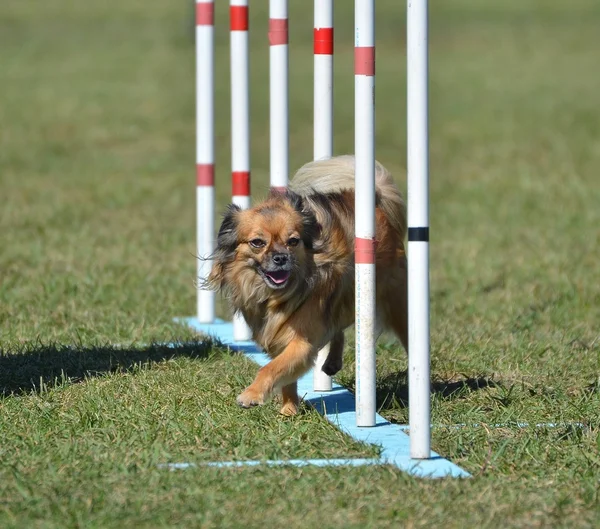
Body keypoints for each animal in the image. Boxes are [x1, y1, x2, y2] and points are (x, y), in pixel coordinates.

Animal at [206, 155, 408, 414]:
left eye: (293, 241)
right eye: (257, 242)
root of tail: (377, 203)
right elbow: (286, 377)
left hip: (392, 303)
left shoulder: (301, 341)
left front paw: (251, 395)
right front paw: (289, 411)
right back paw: (332, 362)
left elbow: (271, 368)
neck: (273, 295)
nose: (280, 257)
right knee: (337, 326)